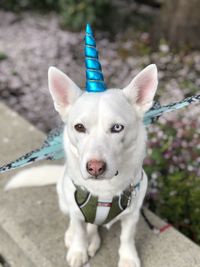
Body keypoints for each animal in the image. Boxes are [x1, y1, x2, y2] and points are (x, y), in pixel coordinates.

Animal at [6, 64, 158, 267]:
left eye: (117, 128)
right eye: (79, 127)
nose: (95, 168)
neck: (104, 190)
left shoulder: (132, 215)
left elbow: (127, 237)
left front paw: (128, 257)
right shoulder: (76, 211)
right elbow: (79, 230)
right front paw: (79, 250)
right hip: (64, 199)